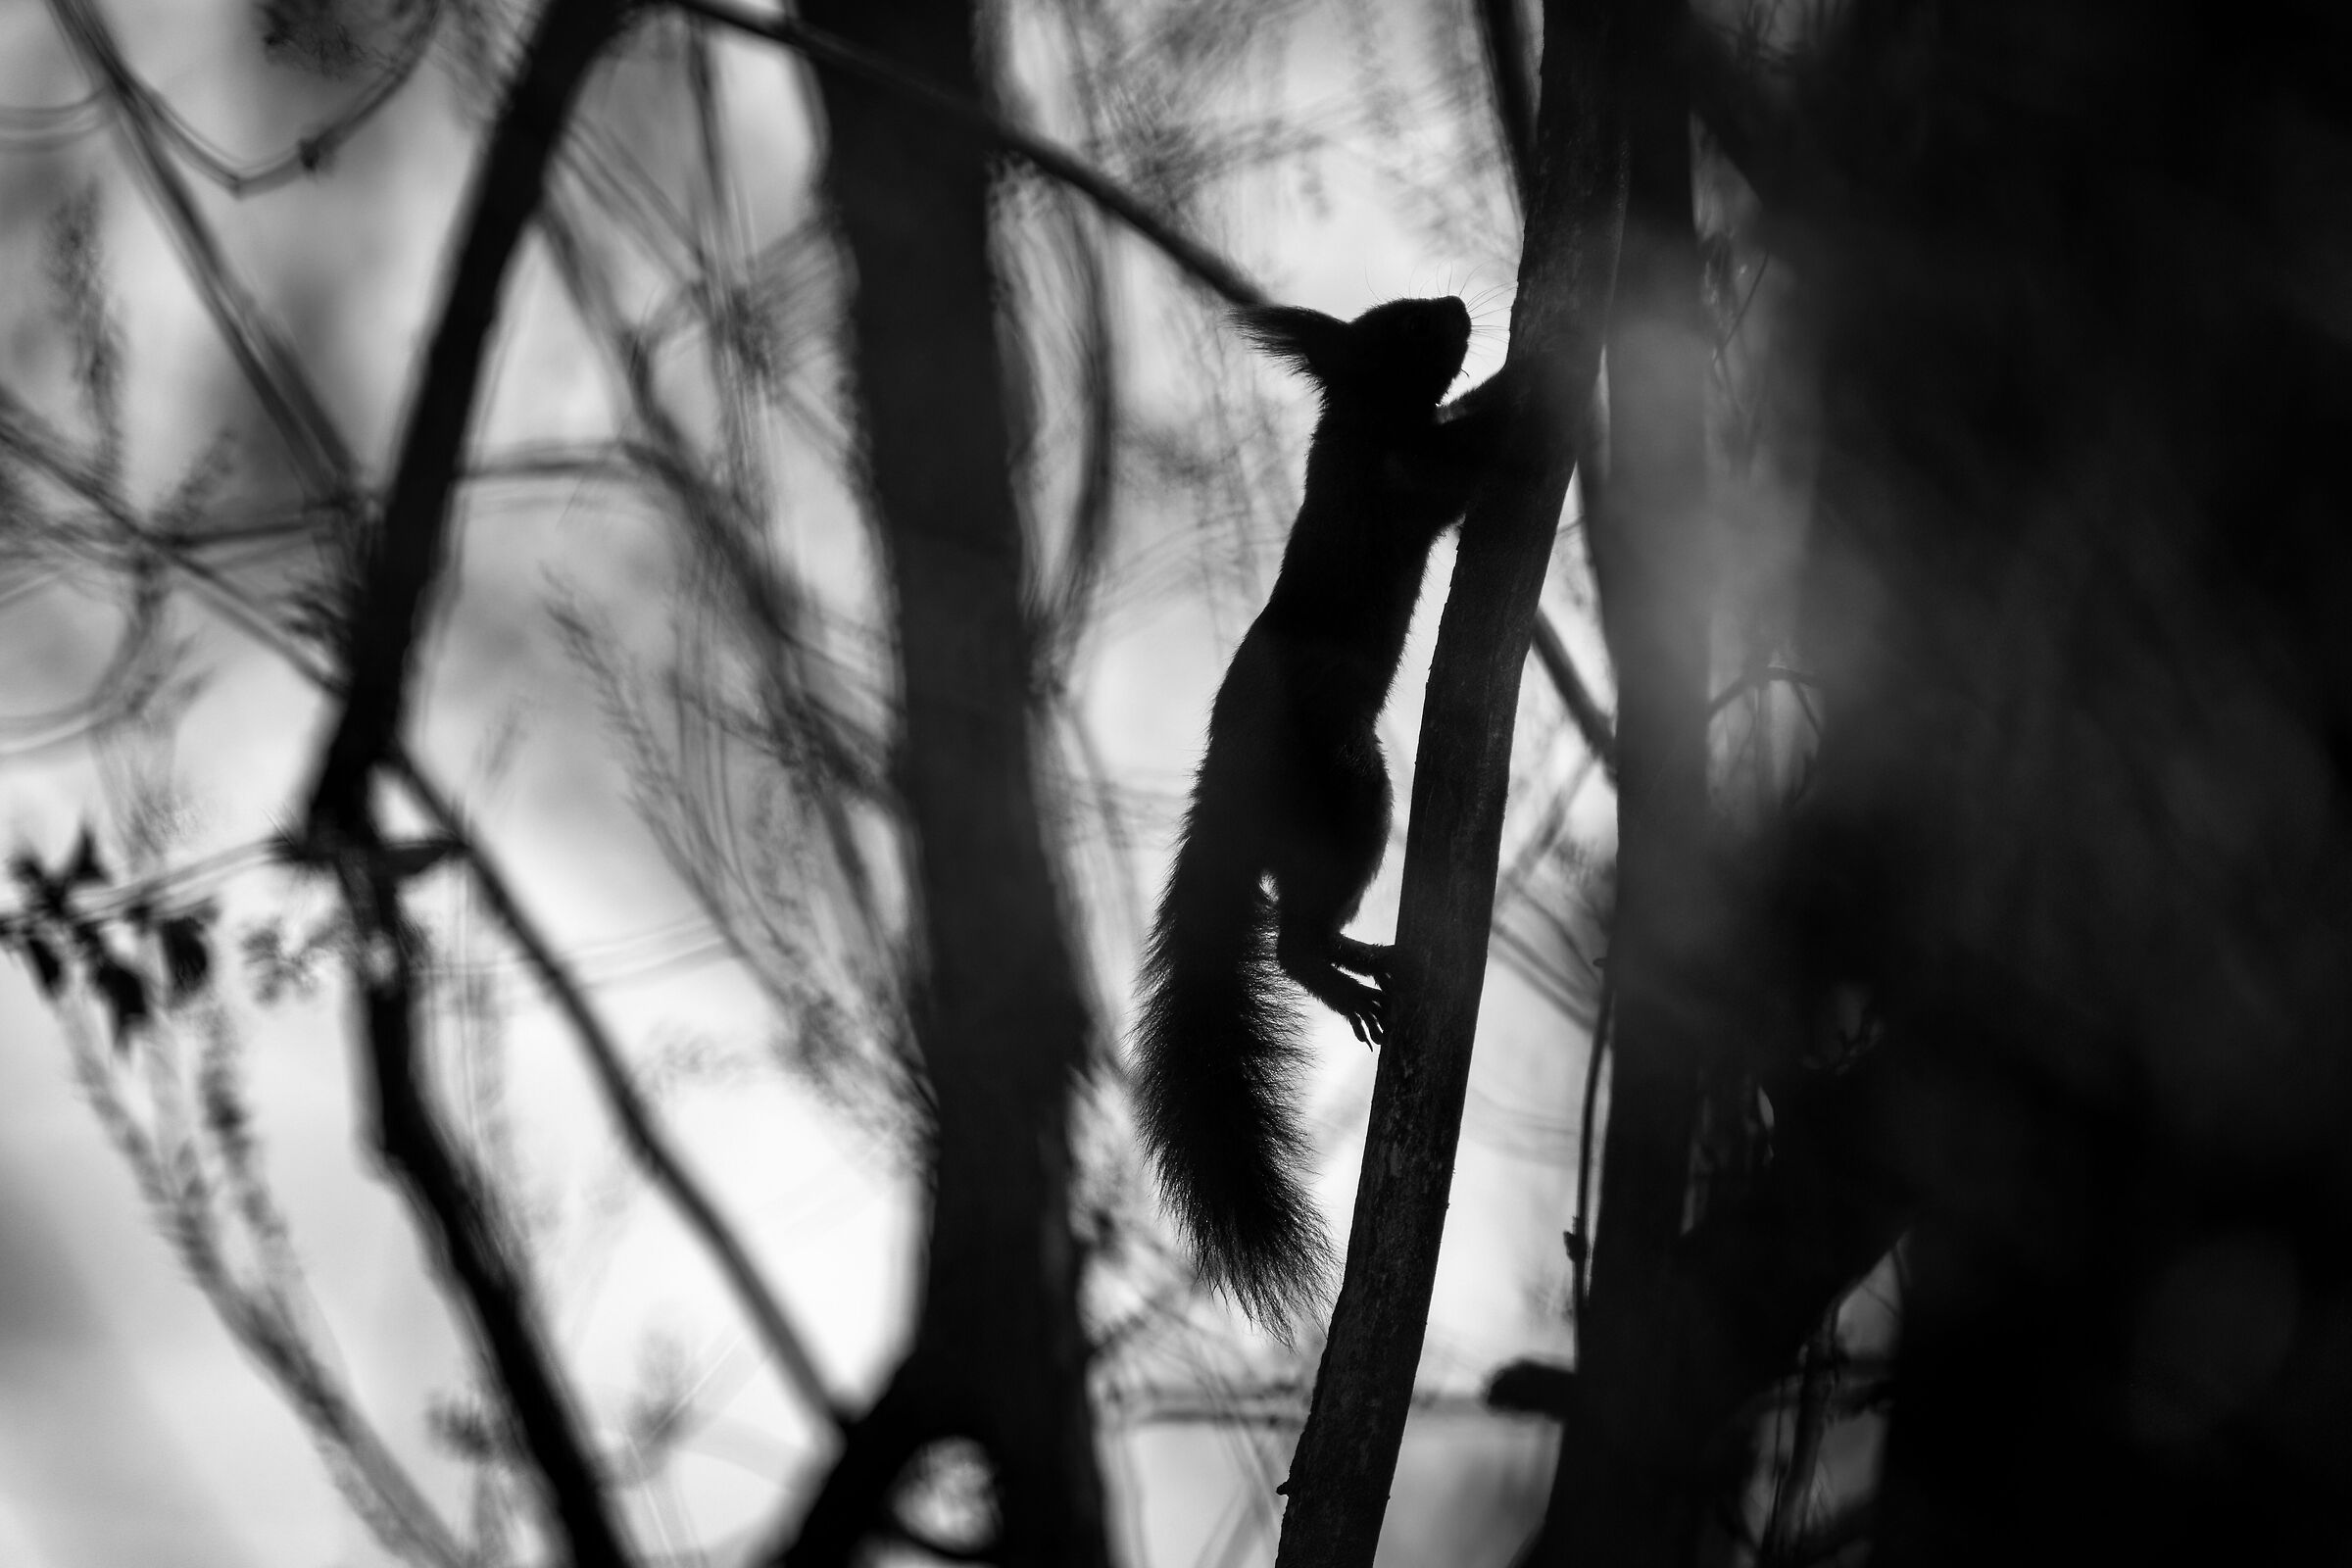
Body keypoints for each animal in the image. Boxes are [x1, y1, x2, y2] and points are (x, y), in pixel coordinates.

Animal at [1132, 295, 1512, 1329]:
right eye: (1410, 324)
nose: (1458, 307)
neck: (1362, 418)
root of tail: (1224, 795)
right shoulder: (1404, 476)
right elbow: (1467, 461)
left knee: (1297, 926)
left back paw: (1365, 961)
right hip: (1349, 790)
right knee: (1289, 943)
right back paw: (1350, 980)